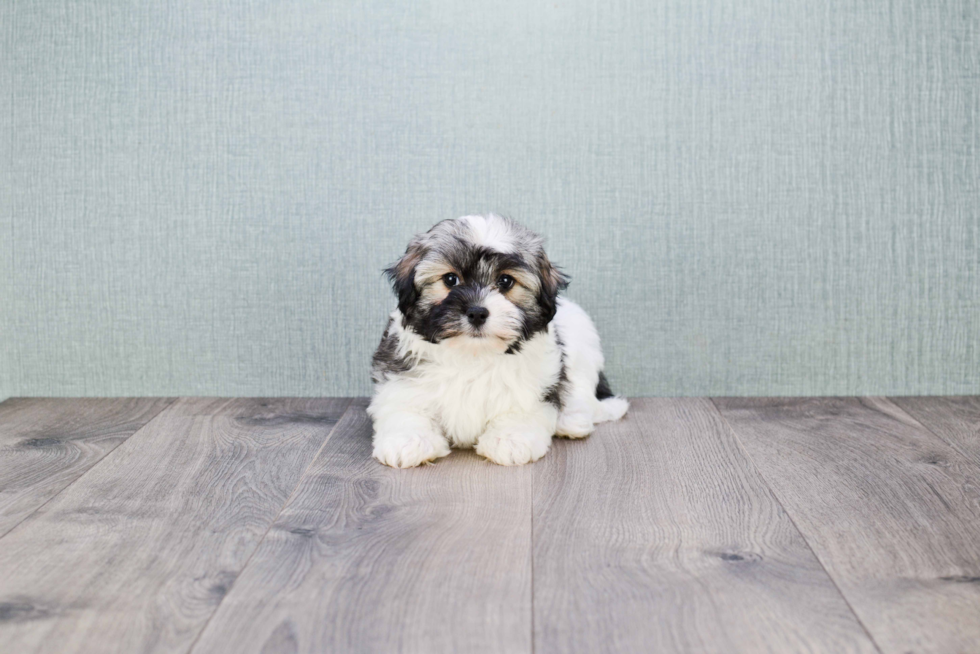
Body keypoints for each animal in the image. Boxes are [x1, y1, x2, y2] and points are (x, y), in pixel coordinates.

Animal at [368, 213, 628, 468]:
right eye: (450, 279)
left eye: (505, 281)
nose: (477, 312)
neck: (472, 355)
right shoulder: (401, 377)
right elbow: (405, 407)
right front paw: (410, 440)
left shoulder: (535, 384)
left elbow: (522, 409)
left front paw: (509, 439)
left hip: (583, 345)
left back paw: (572, 422)